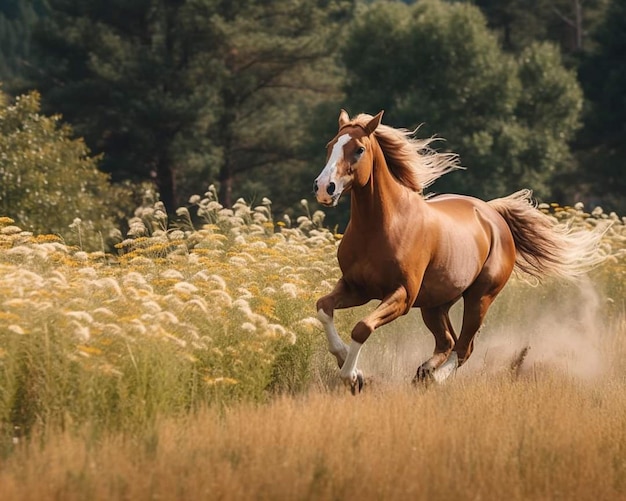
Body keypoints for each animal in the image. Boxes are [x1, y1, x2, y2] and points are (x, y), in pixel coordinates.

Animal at [314, 108, 604, 390]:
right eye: (329, 146)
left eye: (359, 149)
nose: (324, 188)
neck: (381, 226)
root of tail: (492, 213)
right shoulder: (357, 288)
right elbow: (323, 308)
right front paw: (350, 365)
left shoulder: (402, 295)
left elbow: (362, 327)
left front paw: (352, 378)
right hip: (436, 304)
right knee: (447, 342)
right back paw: (424, 372)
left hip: (480, 297)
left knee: (464, 346)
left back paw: (433, 378)